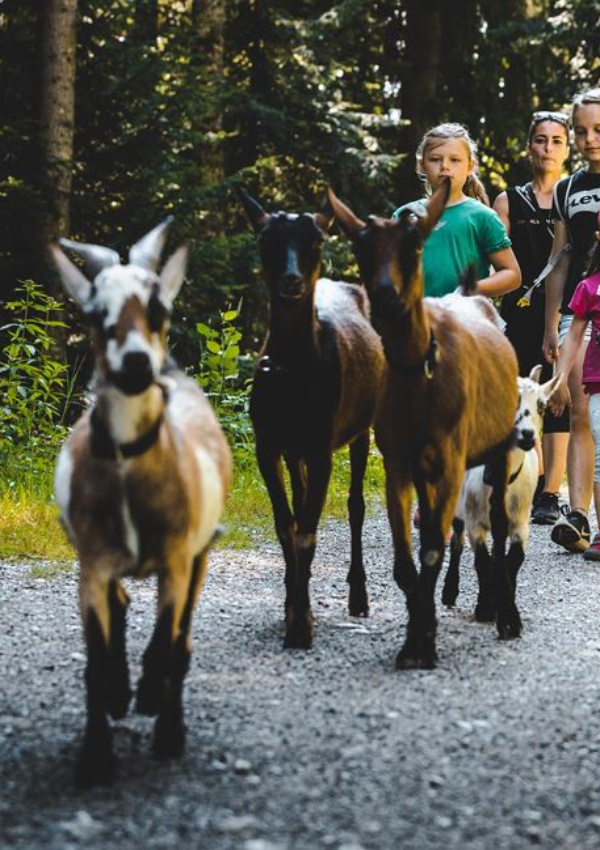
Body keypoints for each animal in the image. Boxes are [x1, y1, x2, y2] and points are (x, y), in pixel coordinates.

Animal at [49, 221, 232, 786]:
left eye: (159, 310)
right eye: (93, 313)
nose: (135, 365)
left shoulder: (176, 559)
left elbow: (166, 645)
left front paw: (152, 701)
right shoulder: (93, 565)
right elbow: (95, 660)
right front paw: (96, 753)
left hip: (198, 556)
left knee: (182, 644)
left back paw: (167, 725)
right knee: (125, 608)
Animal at [239, 190, 384, 649]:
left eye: (316, 240)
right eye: (265, 238)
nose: (291, 280)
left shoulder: (322, 442)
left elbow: (308, 531)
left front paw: (302, 623)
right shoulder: (268, 443)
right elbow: (287, 525)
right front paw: (290, 605)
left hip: (361, 426)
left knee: (355, 504)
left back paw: (359, 596)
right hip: (294, 447)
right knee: (302, 497)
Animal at [328, 181, 520, 669]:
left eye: (414, 245)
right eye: (360, 247)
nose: (385, 294)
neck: (420, 373)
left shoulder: (452, 456)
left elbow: (433, 545)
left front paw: (423, 643)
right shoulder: (398, 458)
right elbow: (406, 559)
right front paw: (416, 634)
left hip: (499, 444)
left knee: (497, 520)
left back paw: (506, 615)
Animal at [442, 365, 561, 615]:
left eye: (542, 405)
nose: (527, 435)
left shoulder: (520, 521)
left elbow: (513, 558)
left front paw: (505, 602)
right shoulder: (475, 522)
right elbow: (481, 560)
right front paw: (485, 607)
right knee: (457, 543)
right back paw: (449, 591)